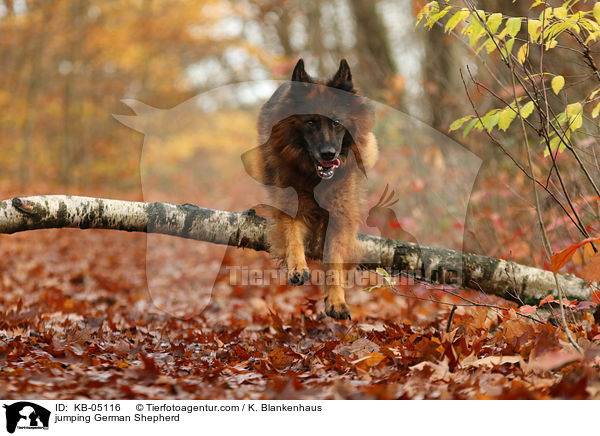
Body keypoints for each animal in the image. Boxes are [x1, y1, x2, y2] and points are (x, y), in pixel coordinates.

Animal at [246, 58, 378, 320]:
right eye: (310, 122)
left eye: (336, 122)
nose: (329, 154)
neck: (314, 179)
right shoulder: (289, 204)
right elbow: (292, 236)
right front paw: (297, 266)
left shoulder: (340, 213)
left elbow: (334, 258)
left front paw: (336, 300)